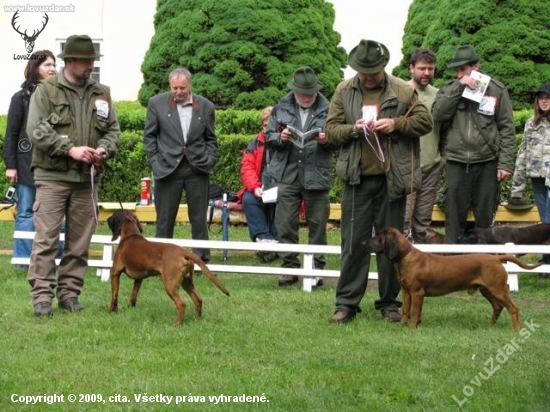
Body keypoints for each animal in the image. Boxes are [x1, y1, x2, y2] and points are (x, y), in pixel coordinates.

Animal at [366, 227, 544, 330]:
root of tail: (496, 258)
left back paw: (516, 329)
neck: (406, 257)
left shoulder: (417, 293)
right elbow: (405, 311)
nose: (364, 243)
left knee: (513, 308)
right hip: (487, 290)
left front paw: (412, 327)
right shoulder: (406, 292)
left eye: (377, 237)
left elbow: (415, 312)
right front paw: (403, 326)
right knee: (497, 307)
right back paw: (490, 325)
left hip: (498, 290)